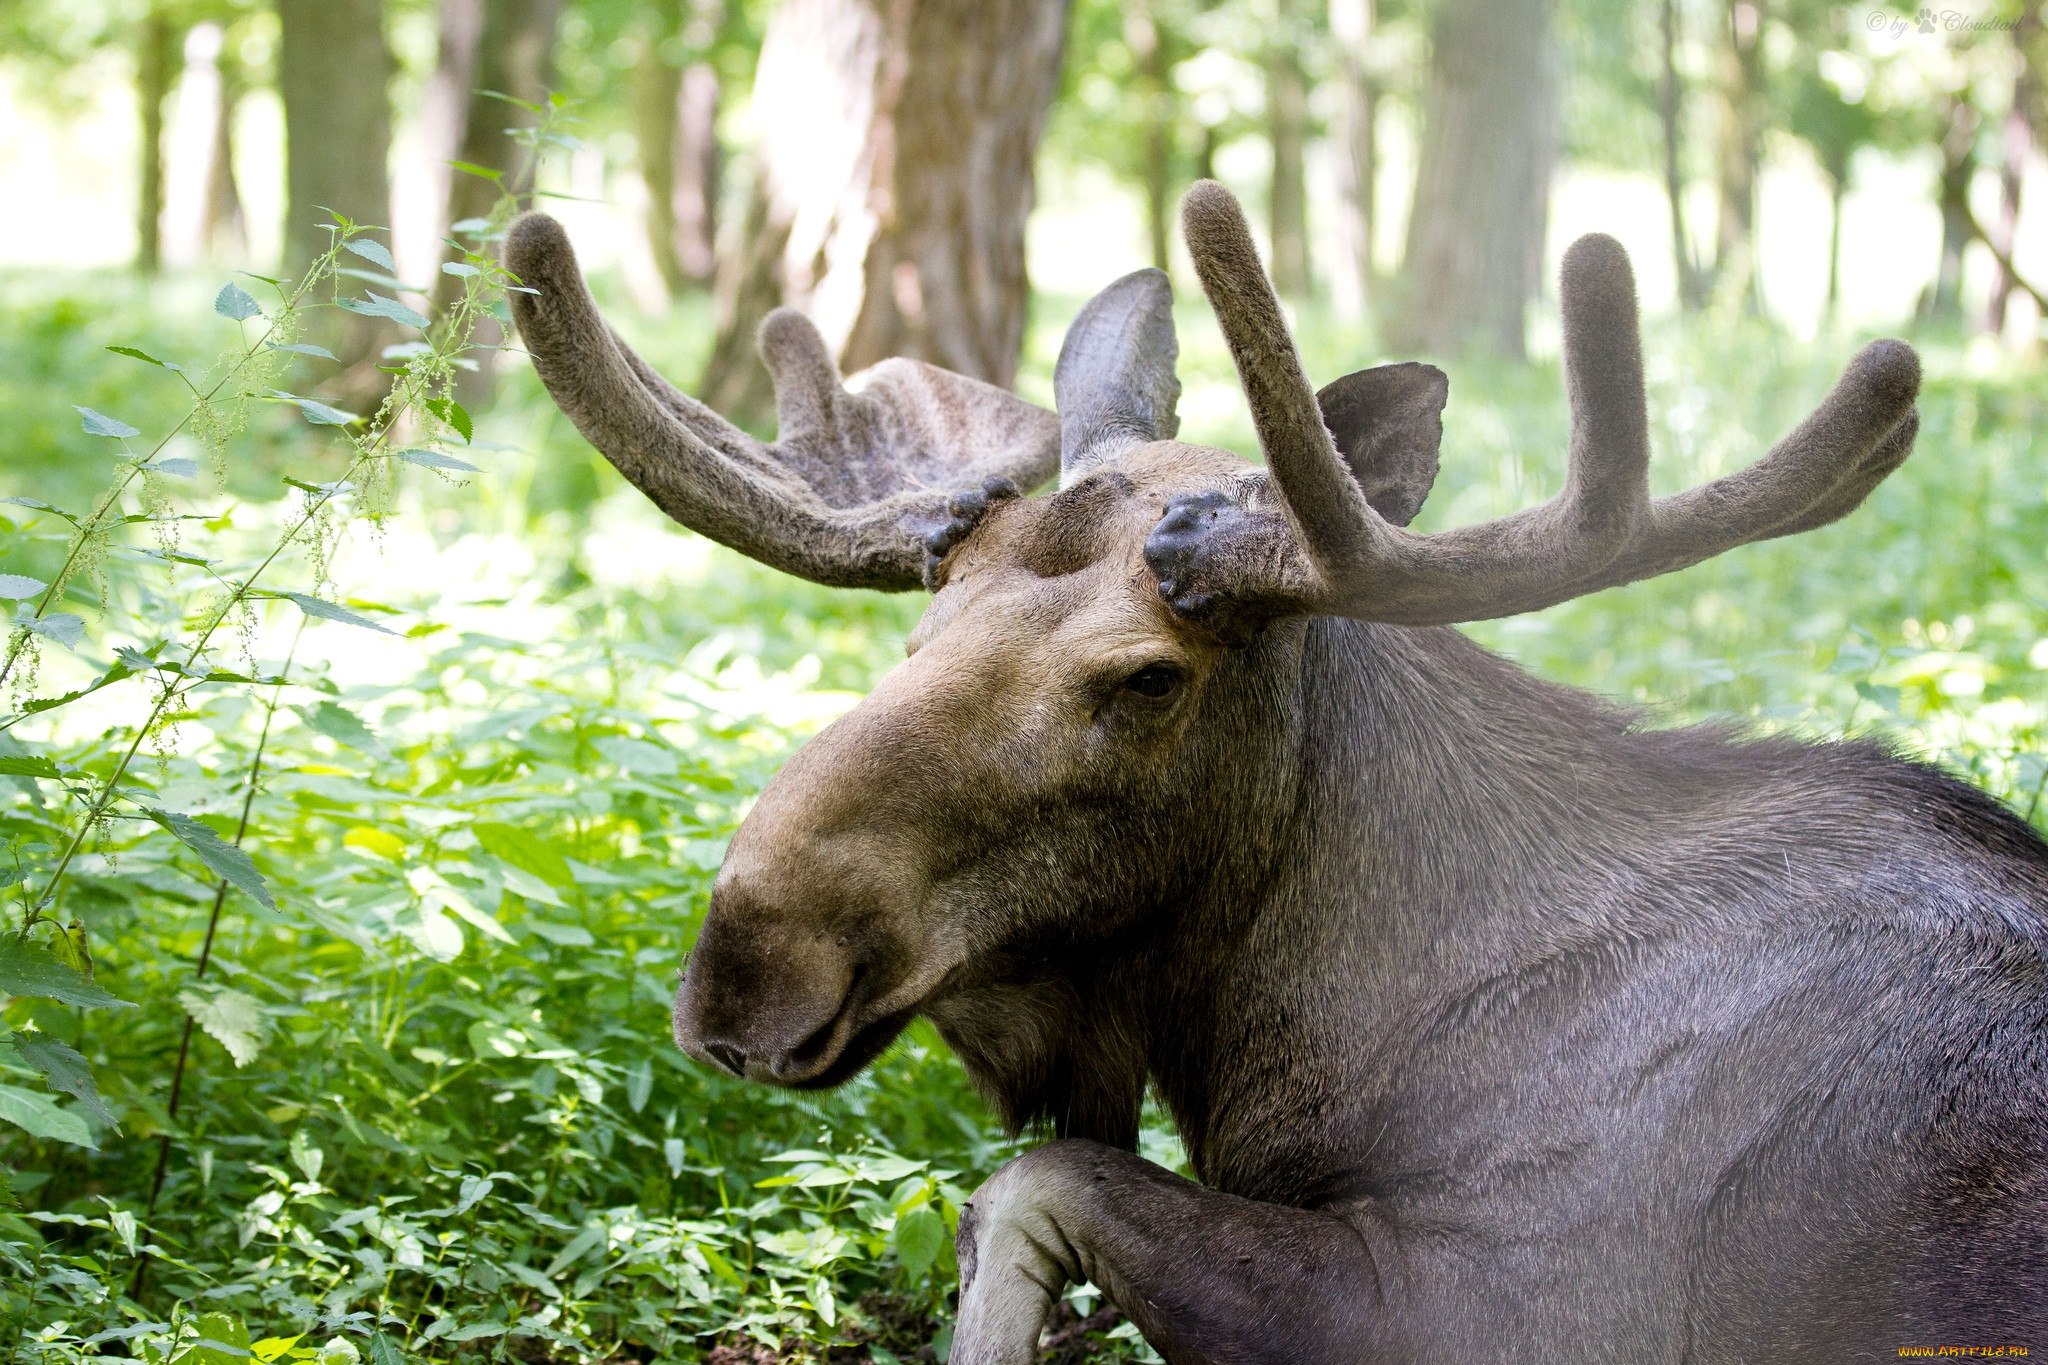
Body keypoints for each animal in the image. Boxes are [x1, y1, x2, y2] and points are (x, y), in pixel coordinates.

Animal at [499, 184, 2048, 1365]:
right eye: (931, 599)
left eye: (1148, 678)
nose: (746, 970)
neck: (1287, 1029)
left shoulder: (1516, 1300)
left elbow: (1038, 1179)